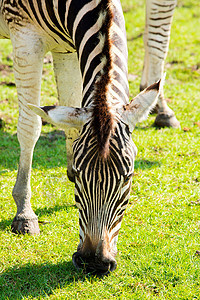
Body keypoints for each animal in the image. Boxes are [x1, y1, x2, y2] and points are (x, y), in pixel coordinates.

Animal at [0, 0, 170, 274]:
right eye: (81, 177)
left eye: (128, 178)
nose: (94, 262)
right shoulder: (24, 36)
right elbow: (30, 126)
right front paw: (24, 213)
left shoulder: (67, 47)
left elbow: (71, 111)